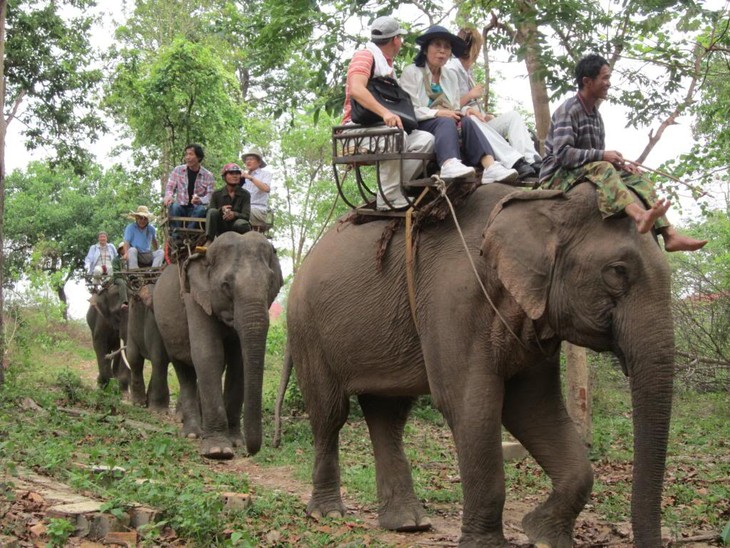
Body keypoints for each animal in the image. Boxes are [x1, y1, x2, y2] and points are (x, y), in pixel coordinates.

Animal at [154, 231, 282, 458]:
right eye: (226, 285)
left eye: (270, 283)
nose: (251, 451)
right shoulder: (194, 297)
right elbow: (208, 354)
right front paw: (218, 451)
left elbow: (238, 362)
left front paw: (236, 442)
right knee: (184, 369)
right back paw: (193, 433)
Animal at [282, 184, 672, 548]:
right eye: (617, 272)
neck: (545, 200)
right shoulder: (453, 299)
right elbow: (471, 404)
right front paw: (492, 544)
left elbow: (534, 407)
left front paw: (543, 535)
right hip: (307, 328)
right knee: (330, 413)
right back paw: (329, 514)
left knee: (387, 415)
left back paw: (407, 523)